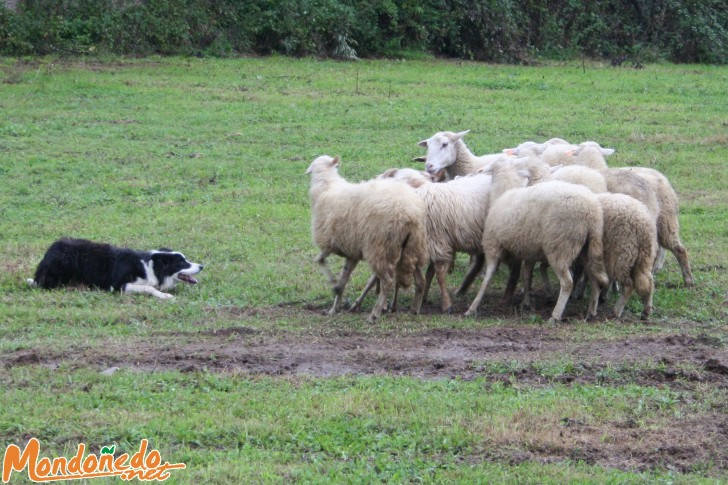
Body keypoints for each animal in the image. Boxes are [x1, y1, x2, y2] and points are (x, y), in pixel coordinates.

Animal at [28, 236, 203, 296]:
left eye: (186, 259)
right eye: (181, 262)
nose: (202, 266)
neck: (151, 268)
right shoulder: (119, 285)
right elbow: (148, 288)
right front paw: (165, 296)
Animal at [306, 155, 426, 322]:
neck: (326, 187)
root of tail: (409, 215)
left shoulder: (329, 244)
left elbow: (319, 260)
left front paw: (333, 286)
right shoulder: (351, 250)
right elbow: (344, 279)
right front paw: (335, 306)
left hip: (379, 248)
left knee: (387, 281)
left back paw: (374, 314)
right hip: (413, 247)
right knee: (421, 280)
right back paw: (414, 310)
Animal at [464, 161, 612, 324]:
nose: (479, 171)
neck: (503, 193)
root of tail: (592, 212)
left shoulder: (493, 245)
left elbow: (487, 278)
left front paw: (472, 307)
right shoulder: (529, 251)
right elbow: (526, 275)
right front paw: (526, 302)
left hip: (560, 246)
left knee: (567, 282)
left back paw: (555, 315)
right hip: (588, 248)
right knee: (594, 278)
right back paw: (591, 311)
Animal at [592, 191, 660, 320]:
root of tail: (643, 226)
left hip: (623, 254)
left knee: (629, 286)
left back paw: (616, 311)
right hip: (644, 258)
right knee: (649, 282)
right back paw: (646, 311)